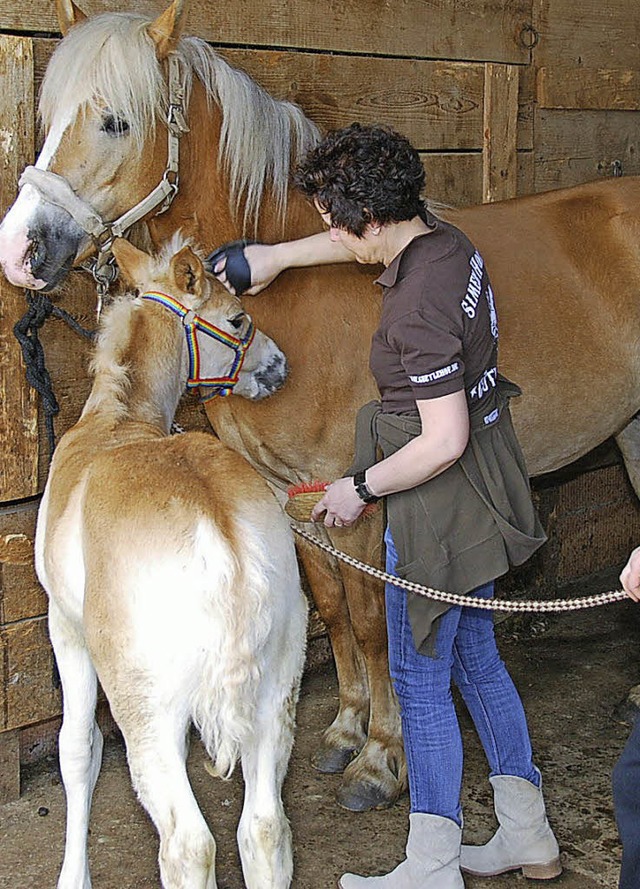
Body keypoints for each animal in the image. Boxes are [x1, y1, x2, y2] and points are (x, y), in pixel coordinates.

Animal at [1, 0, 640, 812]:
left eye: (115, 120)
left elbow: (370, 620)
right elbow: (332, 608)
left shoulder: (357, 497)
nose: (21, 249)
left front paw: (383, 757)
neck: (297, 294)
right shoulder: (289, 491)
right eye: (49, 115)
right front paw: (343, 730)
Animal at [33, 236, 308, 888]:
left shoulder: (65, 626)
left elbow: (77, 750)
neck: (118, 423)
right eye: (237, 319)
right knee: (264, 829)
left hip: (145, 703)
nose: (279, 365)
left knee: (188, 845)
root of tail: (223, 538)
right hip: (276, 686)